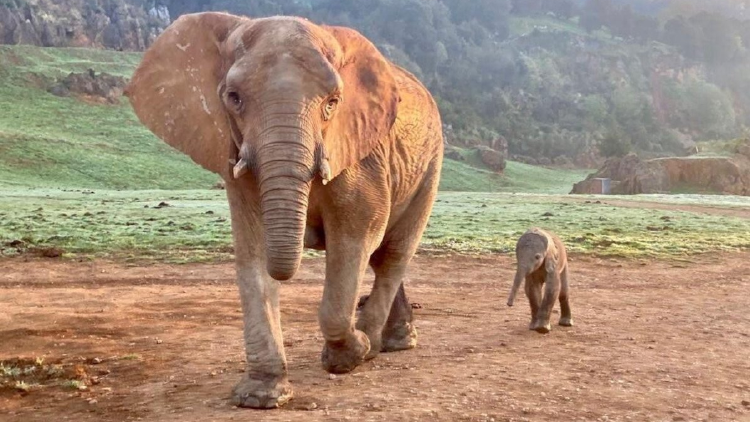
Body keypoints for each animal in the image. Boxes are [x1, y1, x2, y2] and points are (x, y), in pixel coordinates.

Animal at [125, 12, 443, 408]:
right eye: (233, 98)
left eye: (332, 102)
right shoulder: (233, 154)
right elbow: (252, 250)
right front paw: (260, 397)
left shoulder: (360, 155)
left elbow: (355, 237)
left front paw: (349, 354)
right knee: (382, 256)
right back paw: (387, 342)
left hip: (430, 165)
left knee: (391, 254)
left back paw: (376, 346)